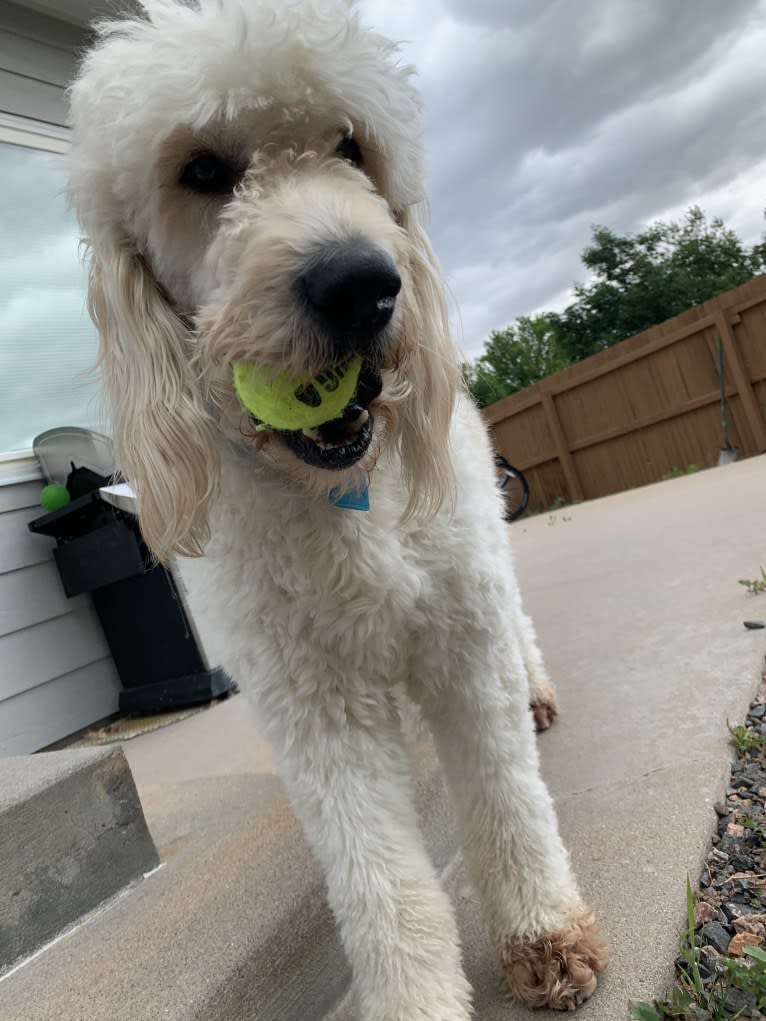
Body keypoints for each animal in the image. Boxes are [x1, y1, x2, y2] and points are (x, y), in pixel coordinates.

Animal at [67, 1, 604, 1012]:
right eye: (203, 170)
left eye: (351, 147)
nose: (361, 284)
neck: (342, 498)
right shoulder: (313, 702)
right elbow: (378, 877)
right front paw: (416, 996)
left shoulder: (461, 634)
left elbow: (507, 797)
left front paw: (544, 931)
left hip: (483, 559)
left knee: (519, 629)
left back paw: (538, 690)